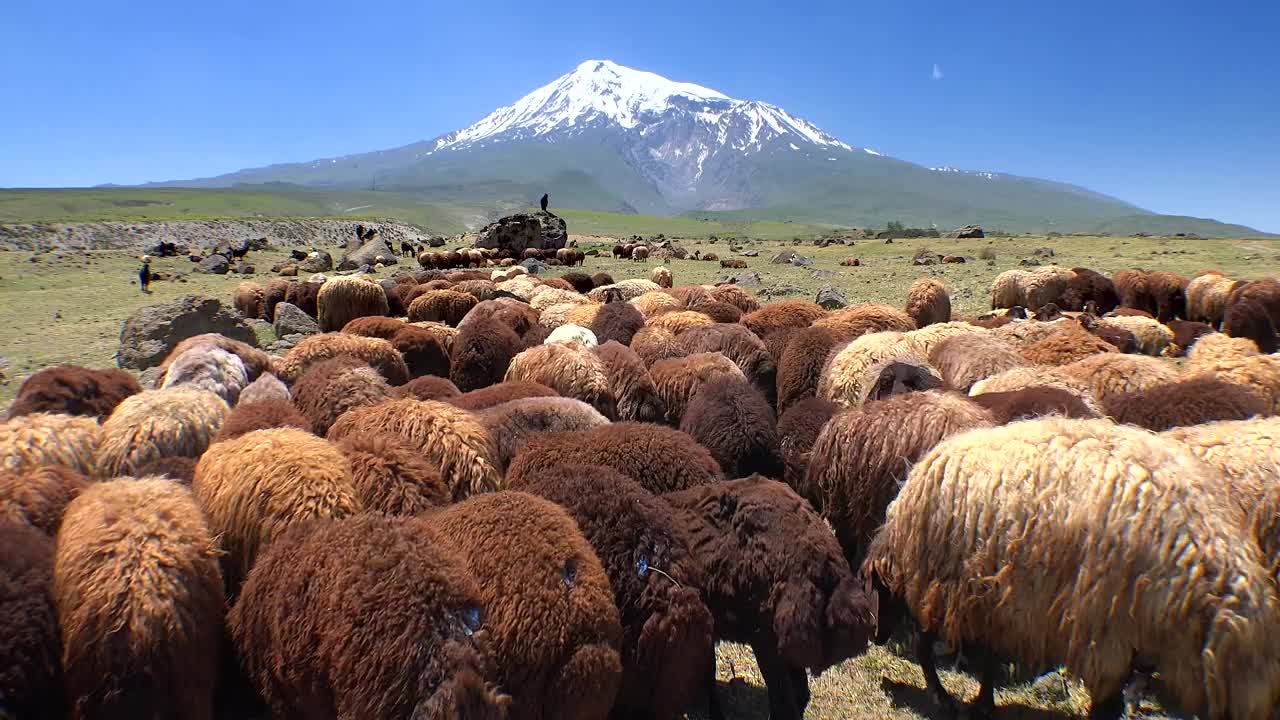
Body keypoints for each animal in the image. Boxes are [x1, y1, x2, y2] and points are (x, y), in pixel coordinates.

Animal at [862, 418, 1280, 719]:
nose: (875, 637)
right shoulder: (1106, 634)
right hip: (956, 590)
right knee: (931, 646)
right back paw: (951, 698)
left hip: (972, 593)